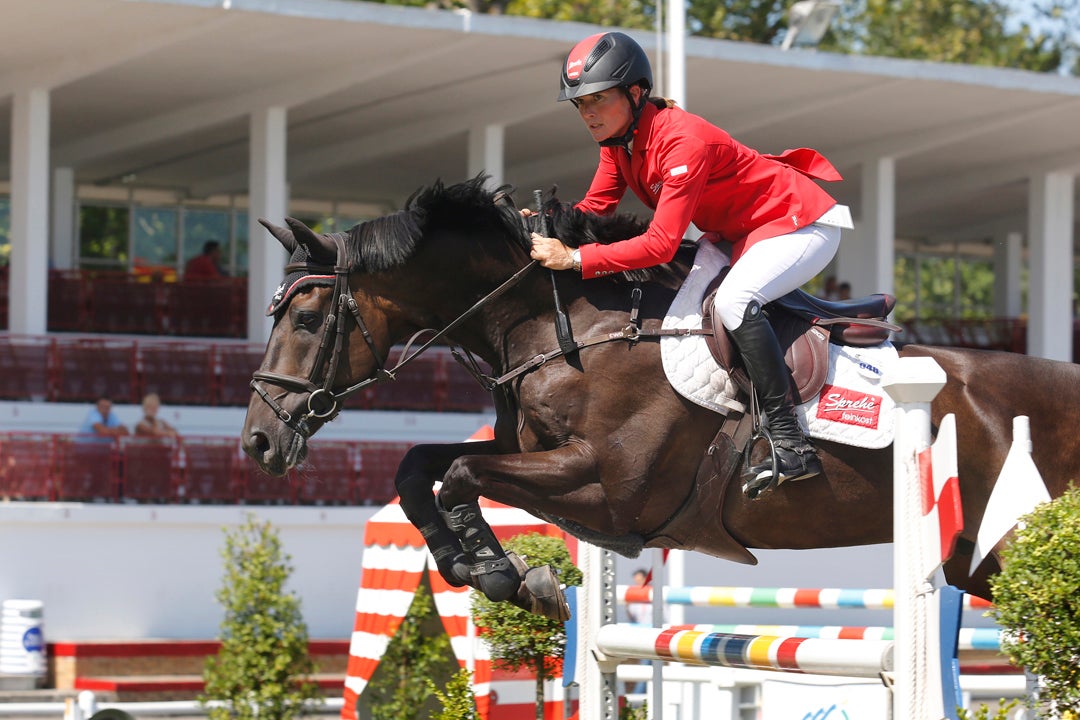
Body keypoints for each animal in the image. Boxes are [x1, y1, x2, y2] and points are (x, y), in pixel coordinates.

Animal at [243, 175, 1080, 613]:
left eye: (308, 319)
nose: (257, 440)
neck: (562, 324)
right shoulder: (534, 454)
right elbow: (419, 464)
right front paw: (473, 566)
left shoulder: (614, 490)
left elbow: (460, 472)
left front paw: (503, 574)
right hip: (978, 560)